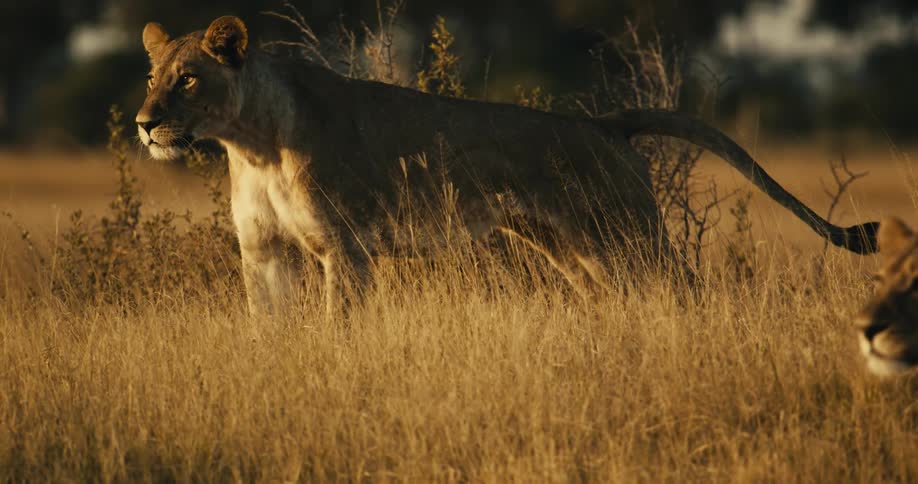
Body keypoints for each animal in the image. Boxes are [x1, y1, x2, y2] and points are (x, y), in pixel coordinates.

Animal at [135, 16, 879, 318]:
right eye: (151, 76)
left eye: (189, 79)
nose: (143, 125)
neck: (250, 142)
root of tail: (603, 123)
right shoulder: (264, 253)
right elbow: (270, 325)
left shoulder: (345, 249)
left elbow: (336, 323)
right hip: (574, 250)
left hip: (626, 235)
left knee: (686, 287)